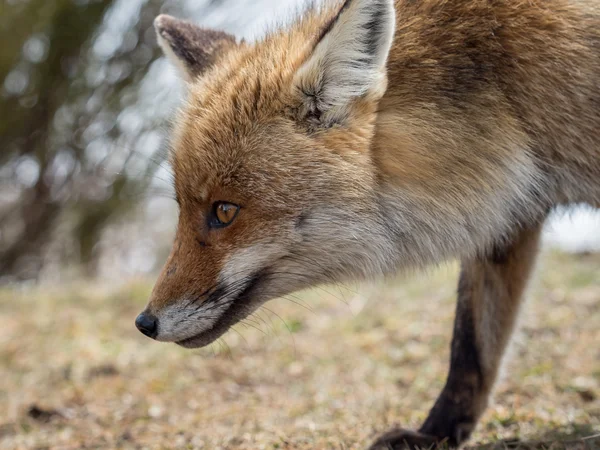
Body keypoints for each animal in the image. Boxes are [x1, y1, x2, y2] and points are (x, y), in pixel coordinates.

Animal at [136, 1, 600, 448]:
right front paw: (437, 434)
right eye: (181, 207)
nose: (144, 323)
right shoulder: (510, 215)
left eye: (224, 211)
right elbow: (471, 347)